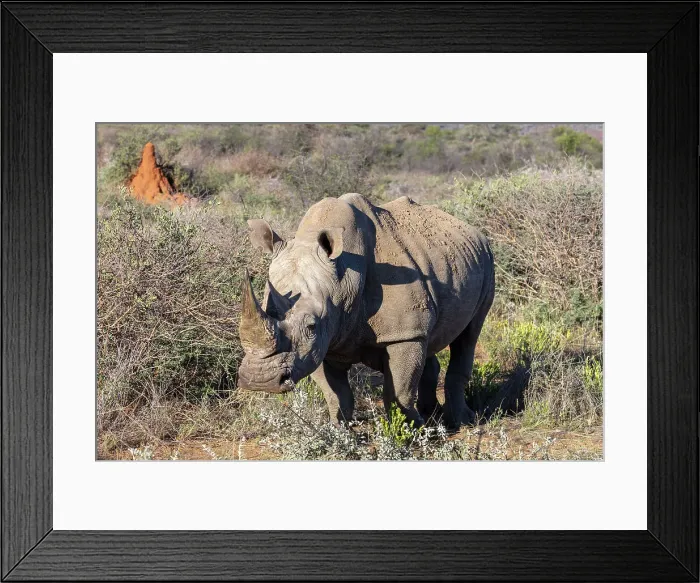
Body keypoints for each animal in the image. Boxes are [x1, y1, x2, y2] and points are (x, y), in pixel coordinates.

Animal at [237, 193, 495, 429]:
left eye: (311, 326)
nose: (261, 380)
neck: (344, 279)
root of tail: (472, 230)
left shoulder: (402, 334)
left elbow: (399, 391)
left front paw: (407, 433)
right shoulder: (323, 341)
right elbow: (336, 394)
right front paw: (339, 432)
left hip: (486, 259)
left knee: (470, 334)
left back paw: (461, 422)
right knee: (430, 337)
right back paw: (432, 416)